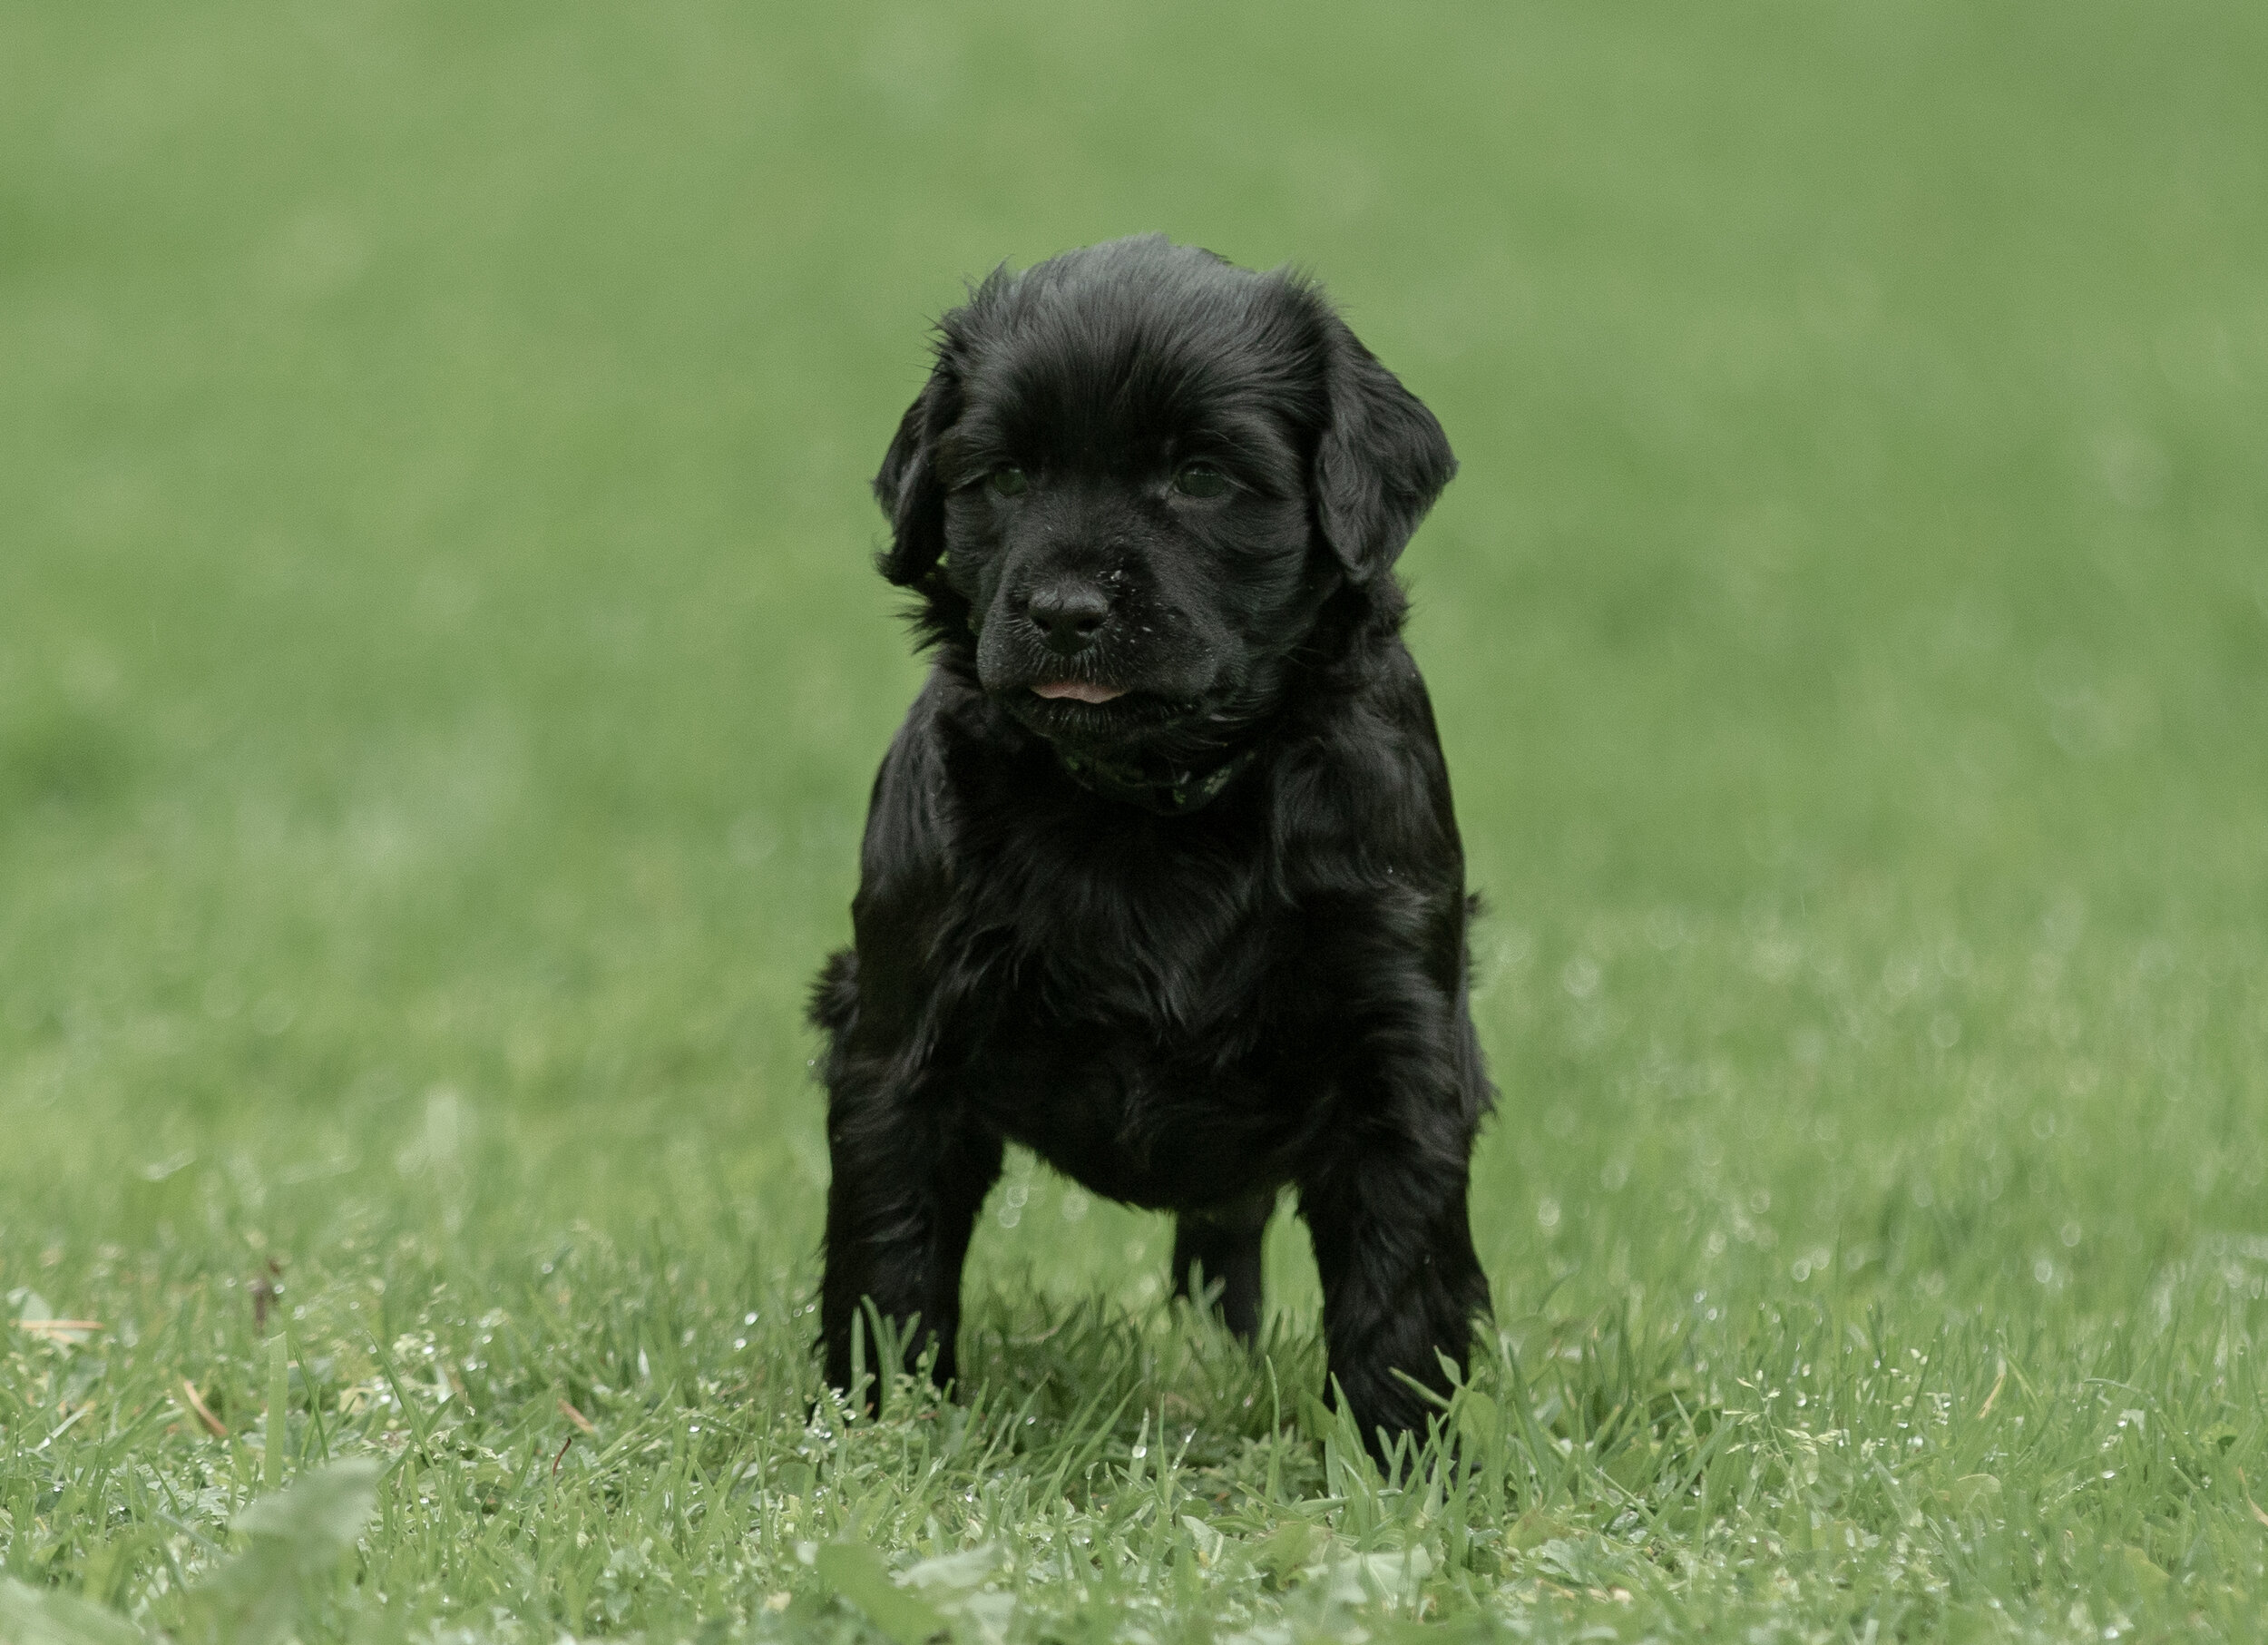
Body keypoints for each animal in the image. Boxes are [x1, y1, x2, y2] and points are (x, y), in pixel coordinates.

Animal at [807, 233, 1497, 1452]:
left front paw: (1402, 1463)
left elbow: (1402, 1277)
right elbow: (889, 1250)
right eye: (1007, 478)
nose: (1066, 610)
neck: (1150, 803)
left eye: (1203, 477)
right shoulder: (900, 1025)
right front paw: (877, 1431)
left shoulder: (1399, 1037)